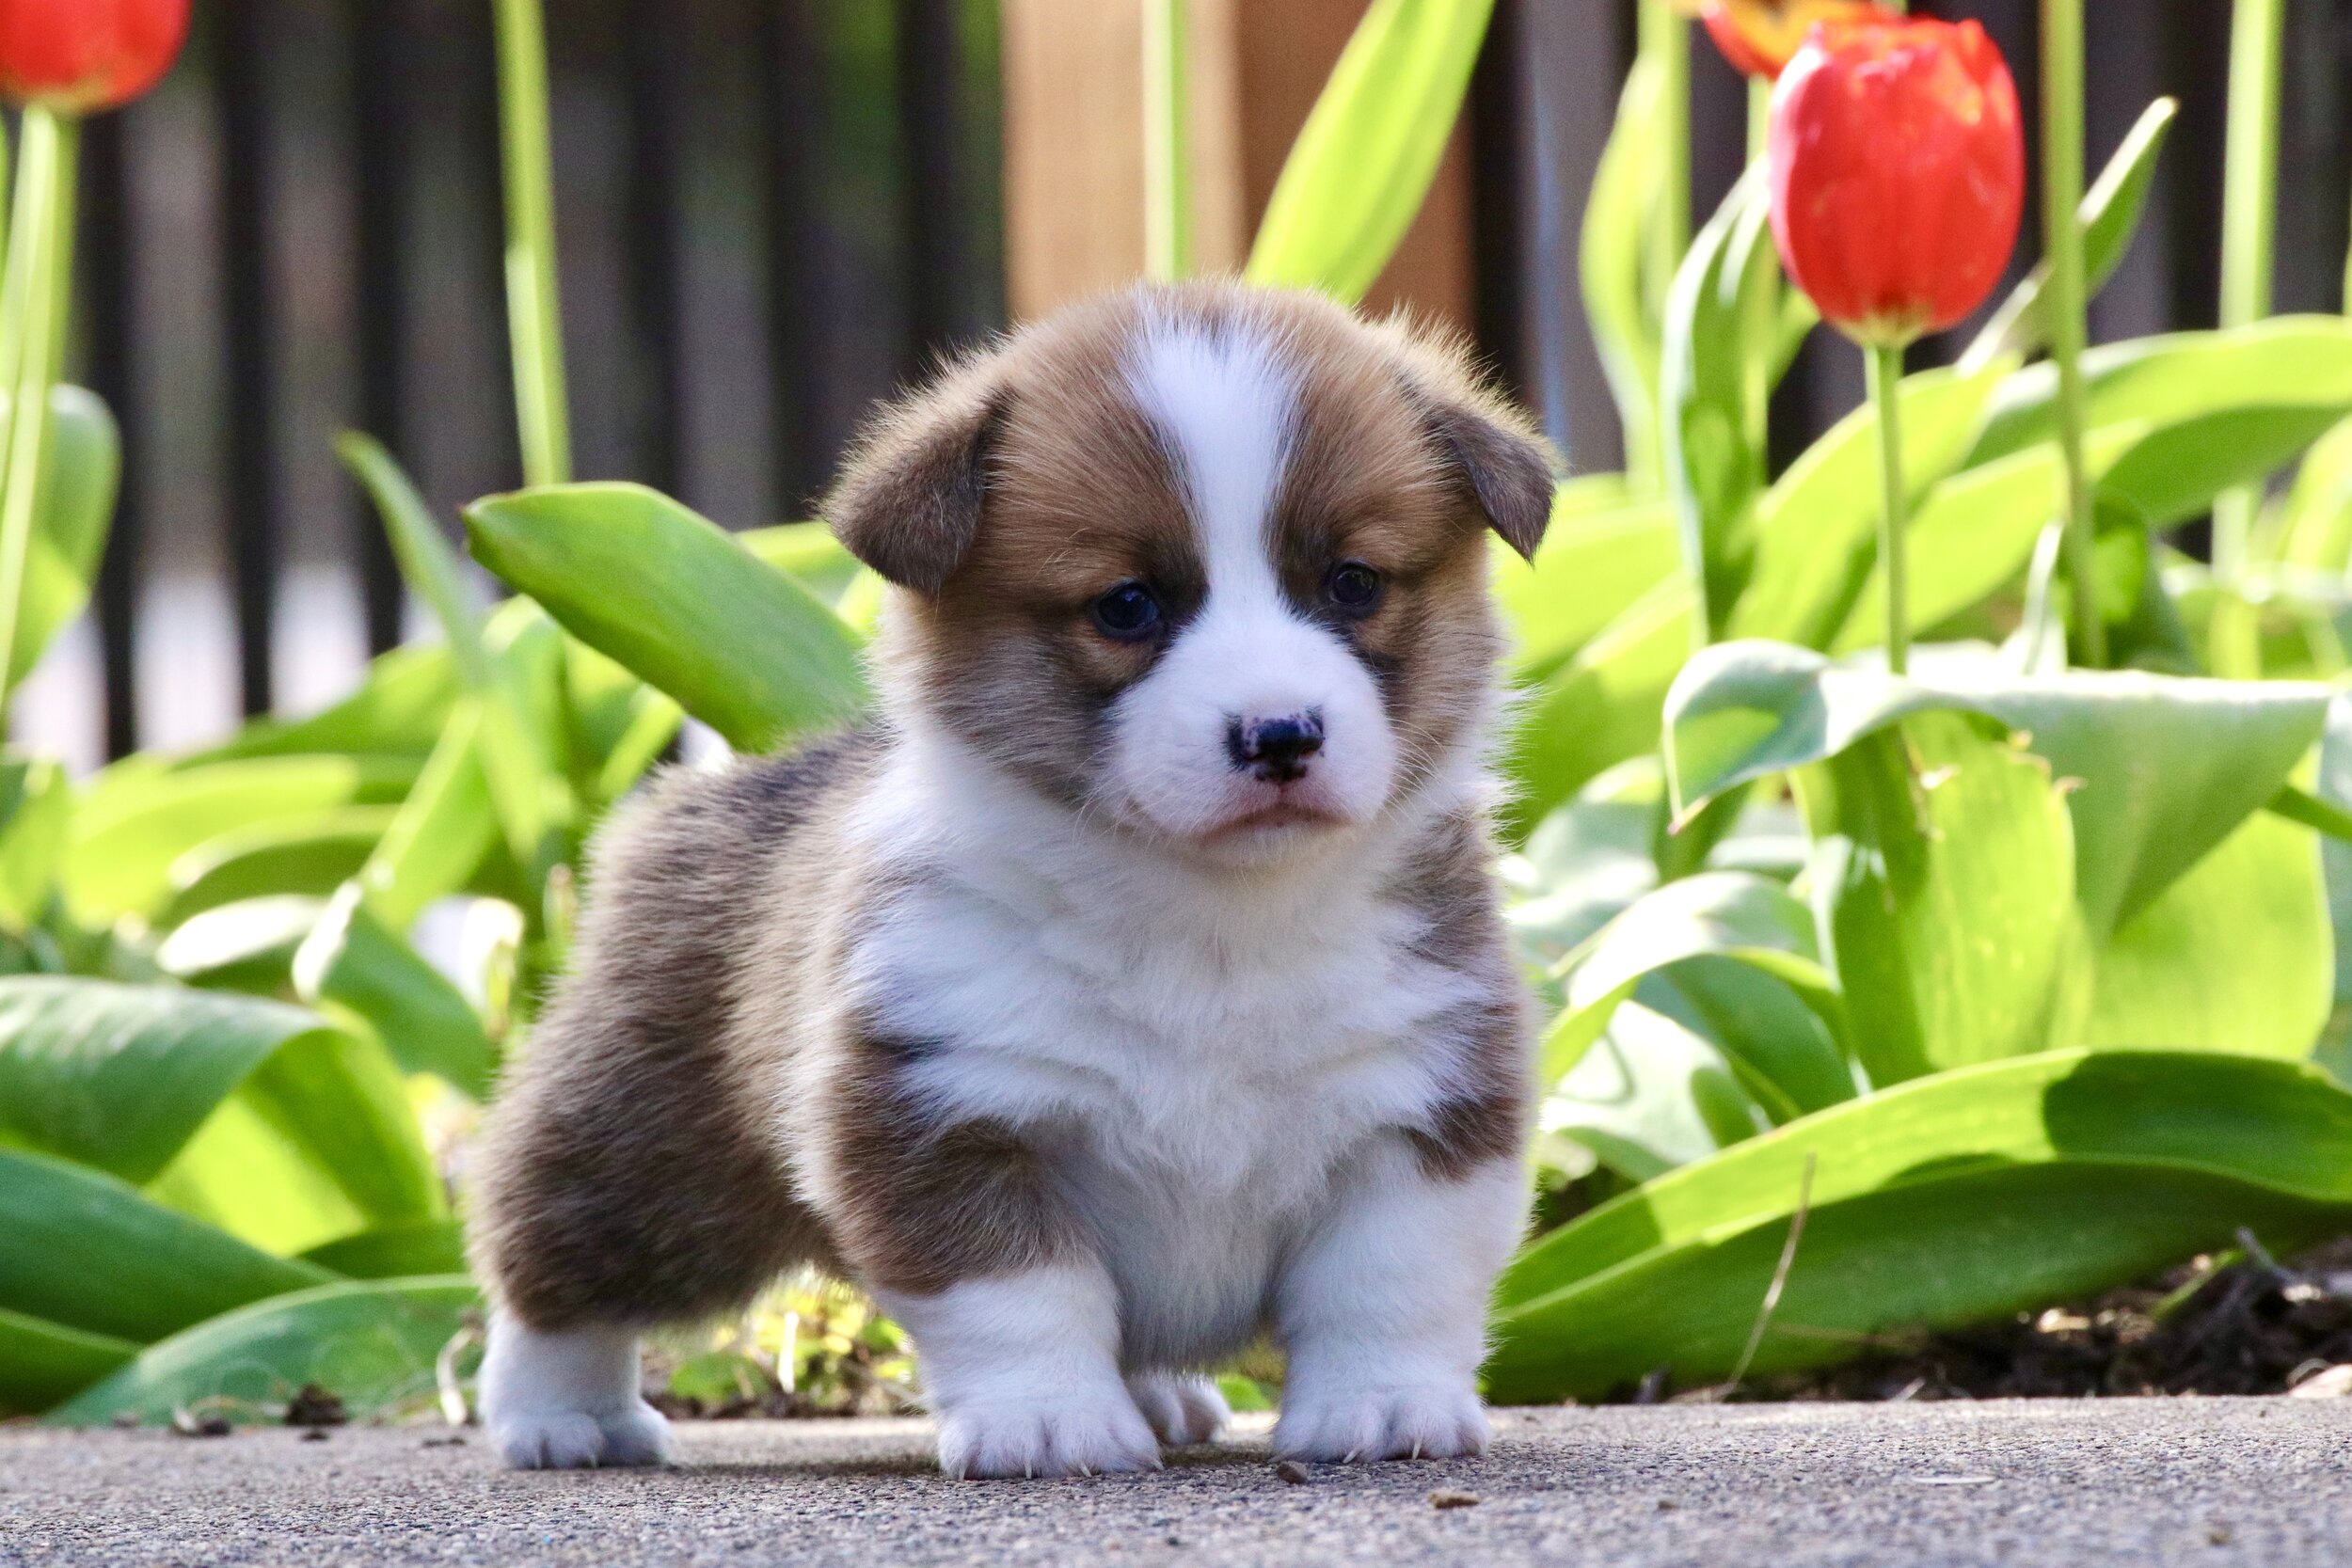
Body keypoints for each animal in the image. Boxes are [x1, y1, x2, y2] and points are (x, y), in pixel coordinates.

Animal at [468, 278, 1552, 1485]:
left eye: (1353, 583)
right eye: (1125, 605)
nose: (1279, 734)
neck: (1213, 920)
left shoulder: (1425, 1103)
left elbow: (1389, 1278)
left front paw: (1382, 1406)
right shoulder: (943, 1110)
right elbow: (1024, 1291)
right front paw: (1049, 1423)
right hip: (650, 1162)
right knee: (547, 1256)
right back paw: (557, 1415)